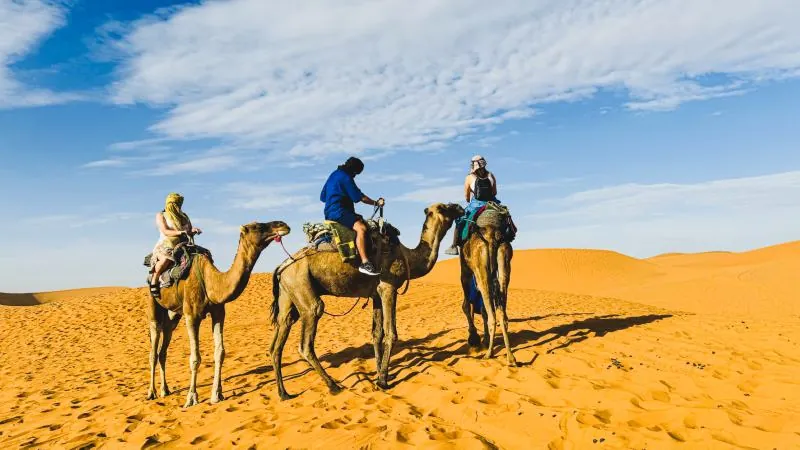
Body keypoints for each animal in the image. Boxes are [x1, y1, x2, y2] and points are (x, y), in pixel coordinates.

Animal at [146, 220, 290, 408]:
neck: (211, 282)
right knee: (153, 351)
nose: (283, 225)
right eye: (258, 226)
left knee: (163, 350)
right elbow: (195, 358)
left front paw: (217, 394)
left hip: (173, 316)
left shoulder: (218, 313)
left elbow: (220, 353)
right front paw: (191, 398)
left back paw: (165, 390)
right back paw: (152, 392)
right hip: (153, 305)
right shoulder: (191, 316)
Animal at [269, 202, 464, 399]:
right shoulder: (388, 287)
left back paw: (283, 393)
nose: (460, 207)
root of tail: (281, 266)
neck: (407, 256)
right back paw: (333, 386)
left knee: (280, 336)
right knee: (307, 336)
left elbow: (377, 334)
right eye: (444, 208)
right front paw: (383, 381)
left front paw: (379, 374)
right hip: (301, 285)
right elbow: (391, 333)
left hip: (288, 294)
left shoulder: (376, 294)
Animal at [459, 214, 518, 366]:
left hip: (480, 267)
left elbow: (466, 306)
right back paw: (510, 357)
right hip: (504, 259)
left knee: (492, 315)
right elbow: (482, 309)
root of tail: (492, 237)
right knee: (502, 314)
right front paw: (482, 339)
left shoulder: (465, 271)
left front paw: (474, 339)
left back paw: (489, 353)